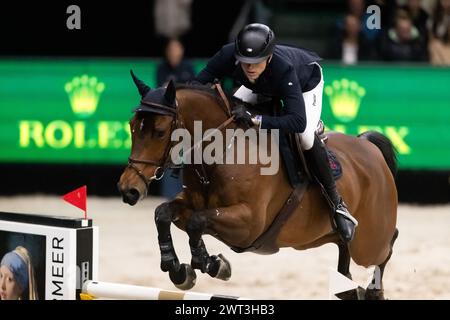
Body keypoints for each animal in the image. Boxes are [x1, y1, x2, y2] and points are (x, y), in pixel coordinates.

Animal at [118, 72, 400, 300]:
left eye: (160, 131)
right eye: (132, 127)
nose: (128, 189)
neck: (221, 153)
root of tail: (370, 148)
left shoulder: (249, 223)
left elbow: (197, 222)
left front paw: (211, 264)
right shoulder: (191, 203)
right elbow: (164, 214)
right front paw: (179, 269)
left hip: (368, 242)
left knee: (387, 246)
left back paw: (373, 289)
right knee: (346, 256)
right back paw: (350, 286)